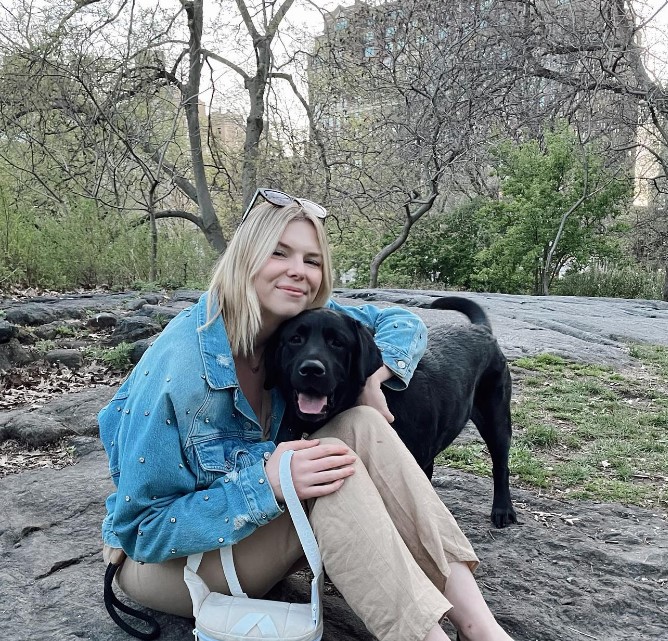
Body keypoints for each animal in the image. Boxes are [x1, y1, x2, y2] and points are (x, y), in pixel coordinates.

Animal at [264, 298, 516, 528]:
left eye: (338, 342)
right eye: (295, 339)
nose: (311, 370)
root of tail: (481, 329)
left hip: (496, 422)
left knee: (501, 466)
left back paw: (503, 509)